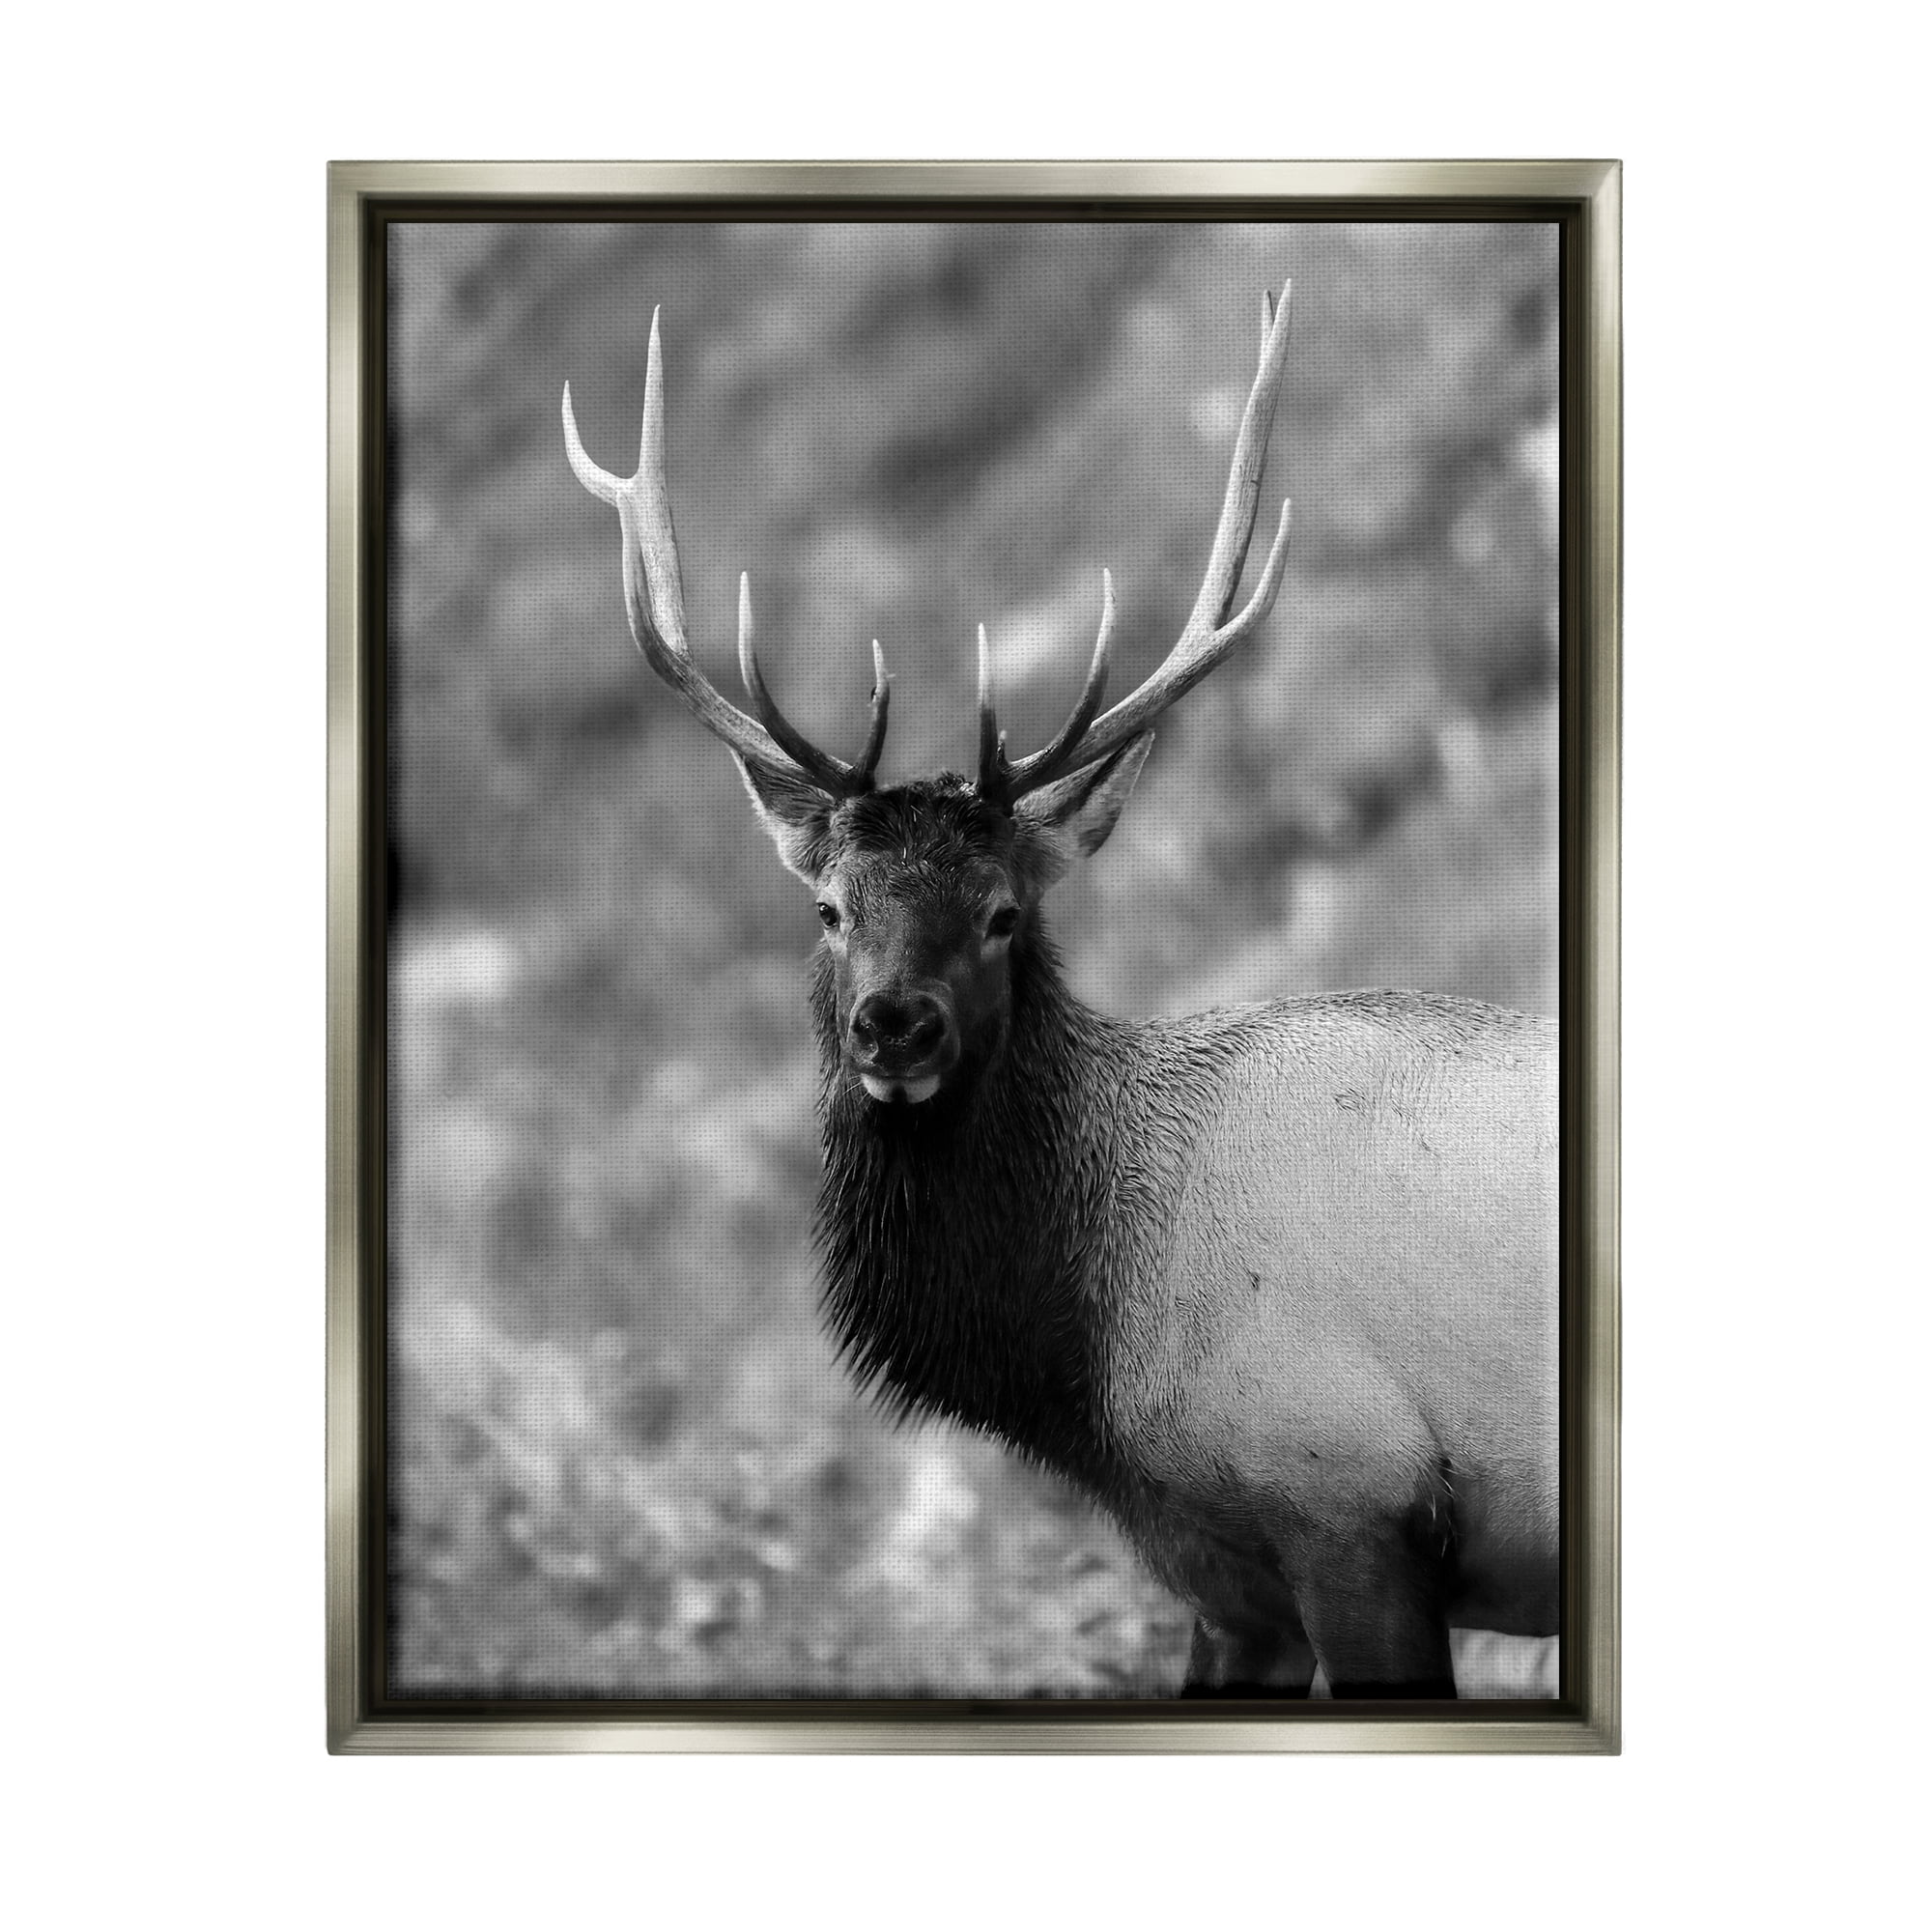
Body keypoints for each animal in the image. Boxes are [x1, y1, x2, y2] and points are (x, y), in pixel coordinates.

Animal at [560, 286, 1558, 1699]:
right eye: (829, 909)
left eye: (1002, 912)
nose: (894, 1024)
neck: (1083, 1357)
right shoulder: (1219, 1572)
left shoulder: (1351, 1507)